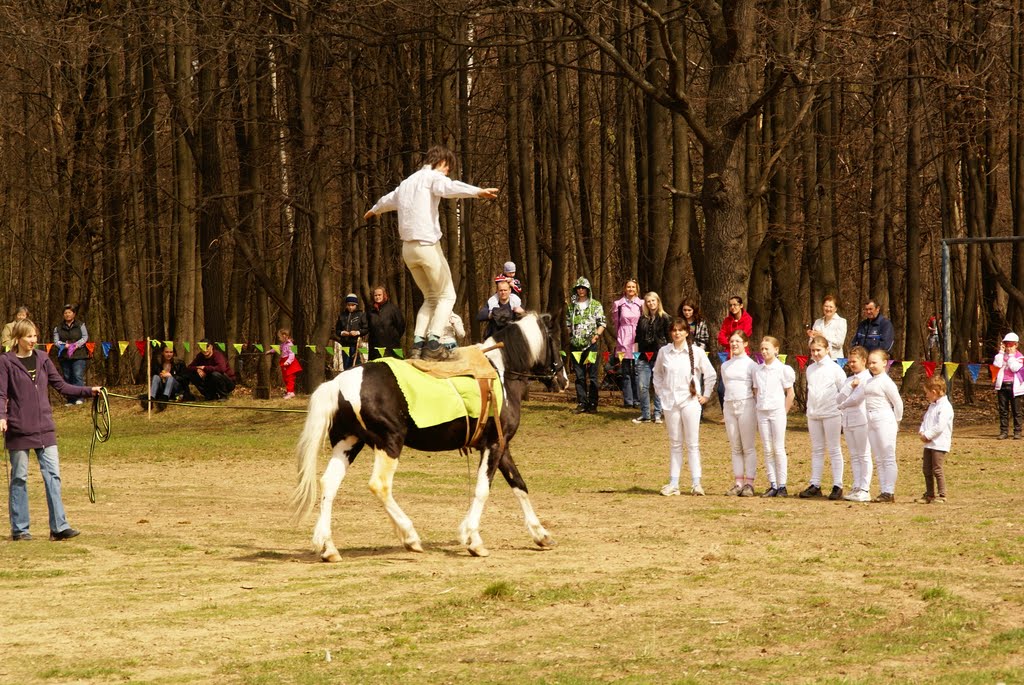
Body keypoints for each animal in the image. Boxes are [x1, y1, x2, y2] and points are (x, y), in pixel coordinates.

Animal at [292, 313, 573, 557]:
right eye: (555, 341)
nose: (563, 379)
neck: (500, 374)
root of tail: (339, 382)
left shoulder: (501, 447)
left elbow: (519, 485)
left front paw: (541, 534)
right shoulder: (493, 445)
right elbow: (483, 490)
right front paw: (473, 539)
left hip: (349, 443)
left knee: (329, 483)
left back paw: (327, 546)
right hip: (389, 443)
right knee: (380, 485)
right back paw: (410, 536)